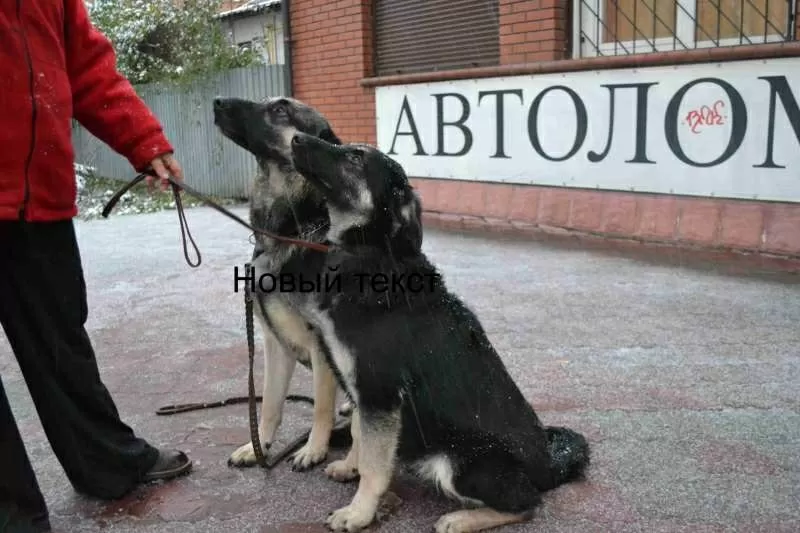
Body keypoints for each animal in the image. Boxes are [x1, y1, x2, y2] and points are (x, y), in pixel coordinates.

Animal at [212, 95, 354, 470]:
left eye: (280, 109)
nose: (217, 102)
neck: (290, 233)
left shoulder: (320, 344)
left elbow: (321, 404)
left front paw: (314, 449)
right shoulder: (274, 344)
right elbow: (270, 403)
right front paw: (259, 446)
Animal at [286, 130, 588, 532]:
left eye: (355, 158)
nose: (295, 137)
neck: (369, 254)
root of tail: (549, 468)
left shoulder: (380, 394)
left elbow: (374, 465)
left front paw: (359, 512)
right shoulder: (362, 394)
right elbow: (358, 437)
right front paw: (350, 466)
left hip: (459, 463)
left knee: (528, 504)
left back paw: (460, 519)